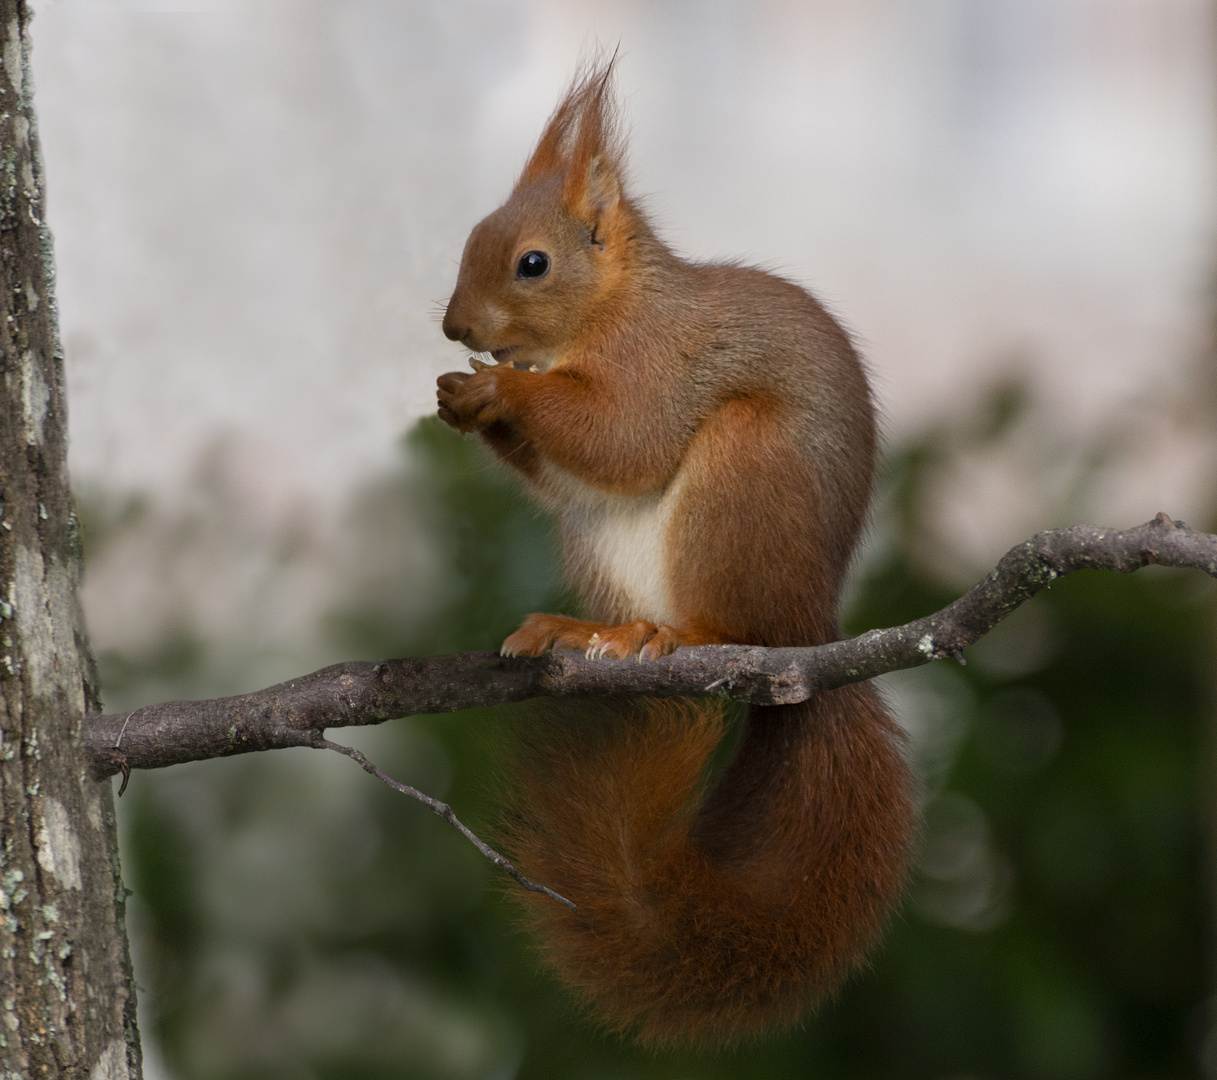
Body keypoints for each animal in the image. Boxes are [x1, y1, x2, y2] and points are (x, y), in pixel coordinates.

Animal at [435, 65, 915, 1047]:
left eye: (532, 263)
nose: (453, 328)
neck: (613, 307)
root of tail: (809, 634)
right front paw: (463, 397)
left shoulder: (658, 364)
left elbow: (625, 436)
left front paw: (498, 390)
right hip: (599, 543)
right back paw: (585, 632)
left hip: (744, 474)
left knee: (729, 619)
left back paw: (678, 637)